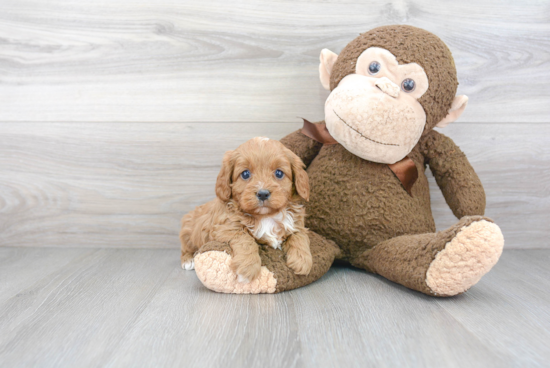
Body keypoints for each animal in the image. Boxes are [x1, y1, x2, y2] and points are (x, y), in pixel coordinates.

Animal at [180, 137, 312, 284]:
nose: (263, 193)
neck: (266, 216)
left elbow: (299, 235)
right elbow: (246, 240)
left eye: (279, 173)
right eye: (245, 174)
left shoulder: (296, 223)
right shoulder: (225, 228)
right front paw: (248, 268)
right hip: (188, 232)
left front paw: (302, 260)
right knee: (185, 248)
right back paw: (188, 260)